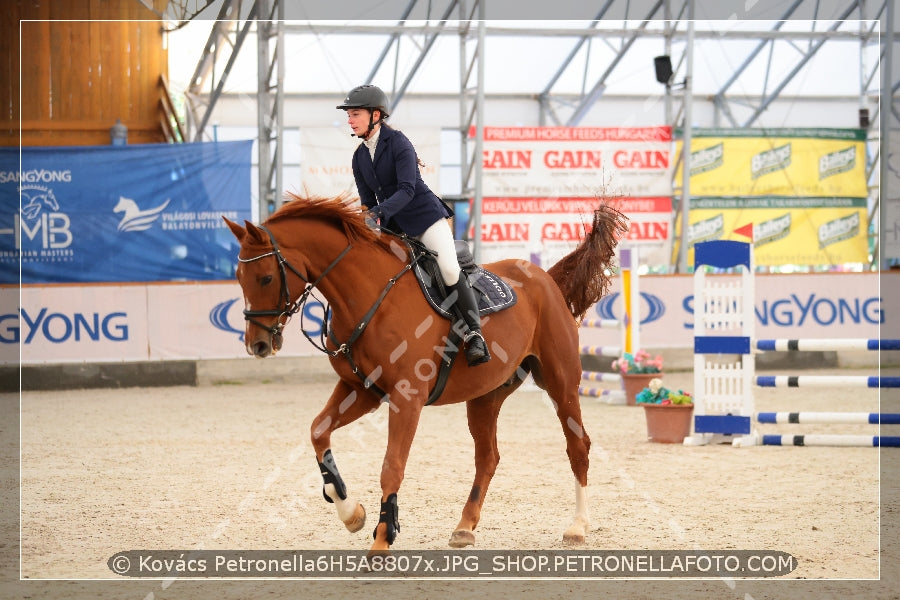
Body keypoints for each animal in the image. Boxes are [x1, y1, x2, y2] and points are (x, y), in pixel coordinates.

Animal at [225, 192, 624, 552]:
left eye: (264, 278)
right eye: (239, 276)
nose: (257, 344)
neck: (367, 296)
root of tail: (545, 277)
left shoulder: (406, 397)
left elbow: (392, 466)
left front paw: (382, 541)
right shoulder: (360, 389)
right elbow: (318, 431)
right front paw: (351, 512)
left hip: (560, 382)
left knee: (577, 446)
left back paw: (577, 527)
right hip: (486, 395)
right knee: (488, 456)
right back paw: (464, 527)